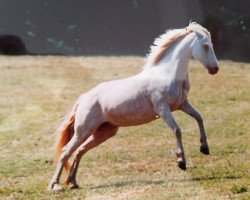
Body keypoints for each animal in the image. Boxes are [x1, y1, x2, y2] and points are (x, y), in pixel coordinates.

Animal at [47, 22, 219, 191]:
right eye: (205, 46)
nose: (215, 69)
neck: (167, 74)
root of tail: (83, 99)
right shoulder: (162, 109)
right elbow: (177, 130)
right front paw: (181, 162)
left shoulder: (182, 104)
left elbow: (199, 117)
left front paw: (204, 148)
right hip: (84, 130)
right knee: (66, 151)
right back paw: (55, 185)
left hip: (104, 132)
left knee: (79, 151)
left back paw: (73, 182)